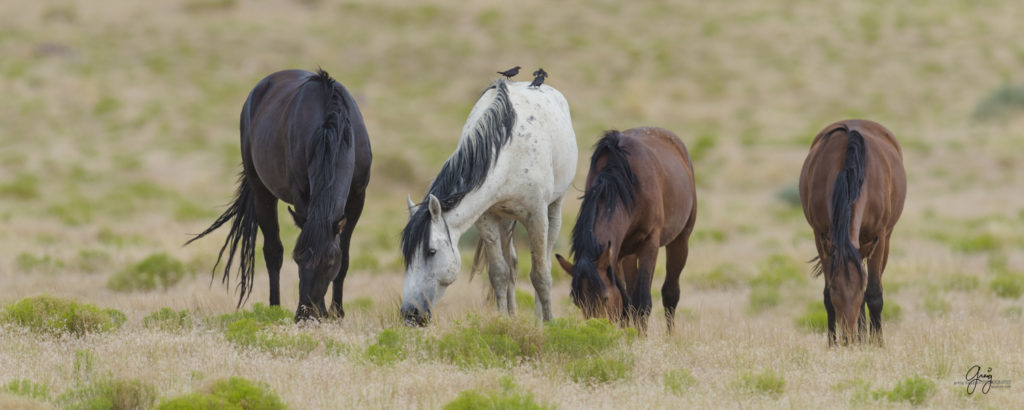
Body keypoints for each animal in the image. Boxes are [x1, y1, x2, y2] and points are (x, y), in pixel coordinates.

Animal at [187, 69, 372, 319]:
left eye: (329, 262)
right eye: (298, 258)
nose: (305, 315)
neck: (331, 132)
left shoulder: (356, 201)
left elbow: (345, 258)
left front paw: (337, 313)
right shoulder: (302, 199)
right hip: (261, 192)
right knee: (272, 252)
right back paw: (274, 309)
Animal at [397, 78, 577, 325]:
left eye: (431, 252)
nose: (410, 313)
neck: (509, 152)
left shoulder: (536, 216)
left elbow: (540, 274)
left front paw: (549, 323)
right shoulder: (486, 219)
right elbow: (499, 273)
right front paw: (503, 320)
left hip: (554, 209)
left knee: (545, 261)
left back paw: (539, 318)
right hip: (505, 220)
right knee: (512, 265)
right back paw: (513, 313)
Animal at [557, 126, 700, 332]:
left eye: (604, 298)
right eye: (578, 302)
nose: (596, 328)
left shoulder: (649, 244)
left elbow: (642, 301)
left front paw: (641, 337)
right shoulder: (616, 252)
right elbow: (625, 302)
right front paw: (628, 335)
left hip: (680, 240)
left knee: (670, 293)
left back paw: (670, 335)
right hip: (629, 254)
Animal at [798, 118, 905, 346]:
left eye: (859, 288)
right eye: (836, 288)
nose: (847, 334)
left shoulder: (878, 237)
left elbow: (874, 294)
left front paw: (877, 343)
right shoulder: (820, 237)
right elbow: (827, 296)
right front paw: (833, 344)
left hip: (884, 239)